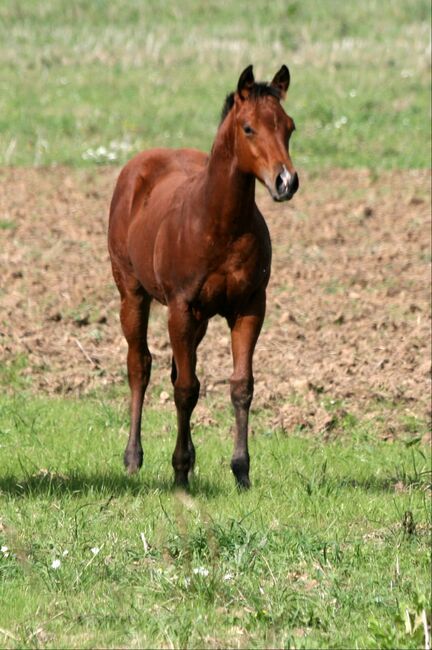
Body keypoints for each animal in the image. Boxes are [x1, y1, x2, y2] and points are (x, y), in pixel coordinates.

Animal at [109, 66, 296, 488]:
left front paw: (241, 471)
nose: (285, 182)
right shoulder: (181, 308)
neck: (218, 222)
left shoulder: (249, 307)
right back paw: (133, 457)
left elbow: (241, 386)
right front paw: (179, 471)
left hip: (201, 320)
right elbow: (185, 390)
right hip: (133, 294)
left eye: (289, 127)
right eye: (248, 128)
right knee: (140, 366)